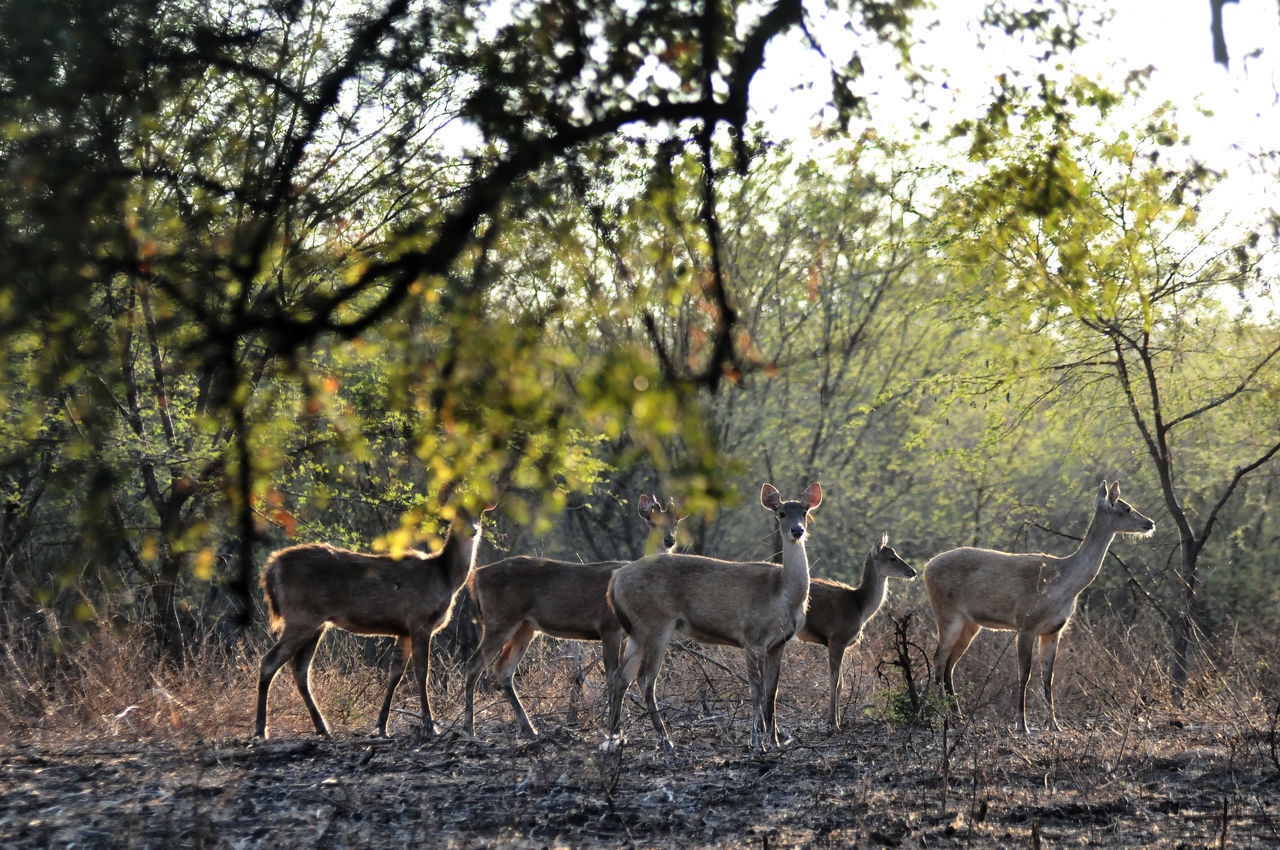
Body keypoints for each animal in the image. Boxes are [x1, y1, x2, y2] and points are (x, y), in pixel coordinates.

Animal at [254, 501, 488, 742]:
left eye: (479, 512)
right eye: (457, 513)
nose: (473, 530)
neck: (446, 577)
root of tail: (271, 568)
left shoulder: (404, 630)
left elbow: (395, 674)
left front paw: (382, 726)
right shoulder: (420, 621)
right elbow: (422, 672)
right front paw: (429, 727)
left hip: (316, 622)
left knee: (300, 668)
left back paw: (322, 728)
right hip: (300, 616)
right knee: (270, 661)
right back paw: (261, 729)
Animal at [458, 491, 680, 737]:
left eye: (676, 523)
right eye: (652, 522)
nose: (669, 540)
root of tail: (475, 577)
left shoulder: (624, 634)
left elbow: (623, 678)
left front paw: (622, 722)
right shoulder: (608, 626)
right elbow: (612, 677)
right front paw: (612, 726)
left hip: (525, 627)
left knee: (503, 669)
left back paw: (530, 728)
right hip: (500, 619)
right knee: (474, 665)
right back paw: (469, 728)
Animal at [606, 483, 819, 752]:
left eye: (804, 511)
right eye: (780, 513)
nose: (797, 530)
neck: (783, 596)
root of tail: (615, 580)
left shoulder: (778, 644)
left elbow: (773, 692)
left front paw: (776, 741)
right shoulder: (752, 637)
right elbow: (756, 690)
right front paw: (756, 741)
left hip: (636, 632)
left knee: (621, 677)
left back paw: (615, 736)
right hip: (655, 623)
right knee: (645, 679)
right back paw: (666, 740)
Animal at [793, 532, 916, 732]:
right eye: (892, 558)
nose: (913, 571)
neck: (860, 607)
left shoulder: (841, 644)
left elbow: (841, 682)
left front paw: (837, 720)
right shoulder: (836, 639)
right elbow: (834, 680)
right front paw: (833, 723)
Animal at [926, 481, 1157, 732]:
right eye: (1127, 508)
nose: (1150, 523)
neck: (1063, 584)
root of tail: (927, 567)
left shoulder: (1053, 630)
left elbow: (1048, 675)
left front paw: (1054, 724)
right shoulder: (1026, 623)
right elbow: (1024, 673)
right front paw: (1021, 724)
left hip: (970, 623)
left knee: (950, 663)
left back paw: (957, 716)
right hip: (946, 611)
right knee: (938, 658)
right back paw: (940, 716)